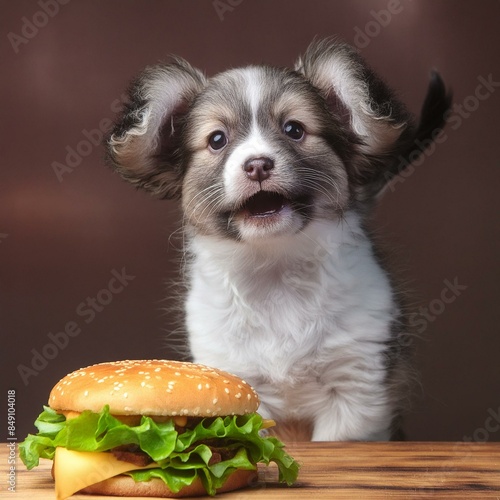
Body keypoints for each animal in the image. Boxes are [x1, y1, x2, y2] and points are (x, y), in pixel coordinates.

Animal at [105, 39, 450, 440]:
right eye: (217, 140)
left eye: (294, 129)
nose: (257, 164)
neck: (275, 271)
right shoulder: (238, 380)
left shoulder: (356, 389)